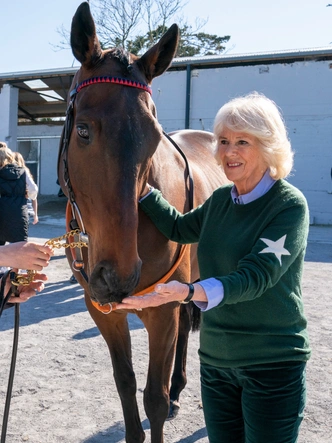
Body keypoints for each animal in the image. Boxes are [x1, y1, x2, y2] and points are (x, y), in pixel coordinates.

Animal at [57, 1, 228, 442]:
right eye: (83, 130)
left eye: (154, 137)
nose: (118, 275)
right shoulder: (103, 311)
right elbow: (126, 384)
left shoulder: (160, 311)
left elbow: (153, 398)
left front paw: (165, 399)